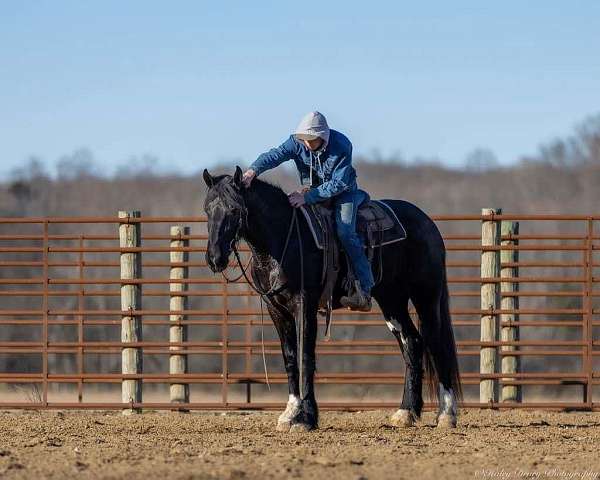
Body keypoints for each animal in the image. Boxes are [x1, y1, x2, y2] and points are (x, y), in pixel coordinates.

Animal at [204, 166, 462, 432]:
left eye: (234, 209)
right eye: (207, 209)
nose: (214, 258)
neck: (283, 238)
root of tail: (427, 222)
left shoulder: (304, 304)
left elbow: (305, 357)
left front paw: (306, 418)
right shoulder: (276, 309)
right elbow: (290, 357)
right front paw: (289, 414)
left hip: (427, 297)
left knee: (436, 344)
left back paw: (446, 414)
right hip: (392, 299)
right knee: (411, 342)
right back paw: (405, 412)